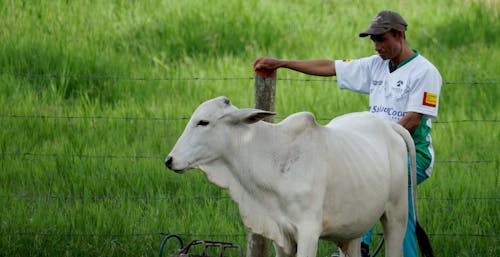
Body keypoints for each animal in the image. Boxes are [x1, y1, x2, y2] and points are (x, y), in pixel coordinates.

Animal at [166, 95, 432, 256]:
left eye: (203, 122)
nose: (170, 160)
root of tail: (390, 126)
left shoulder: (308, 232)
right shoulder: (279, 236)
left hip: (397, 216)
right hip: (354, 229)